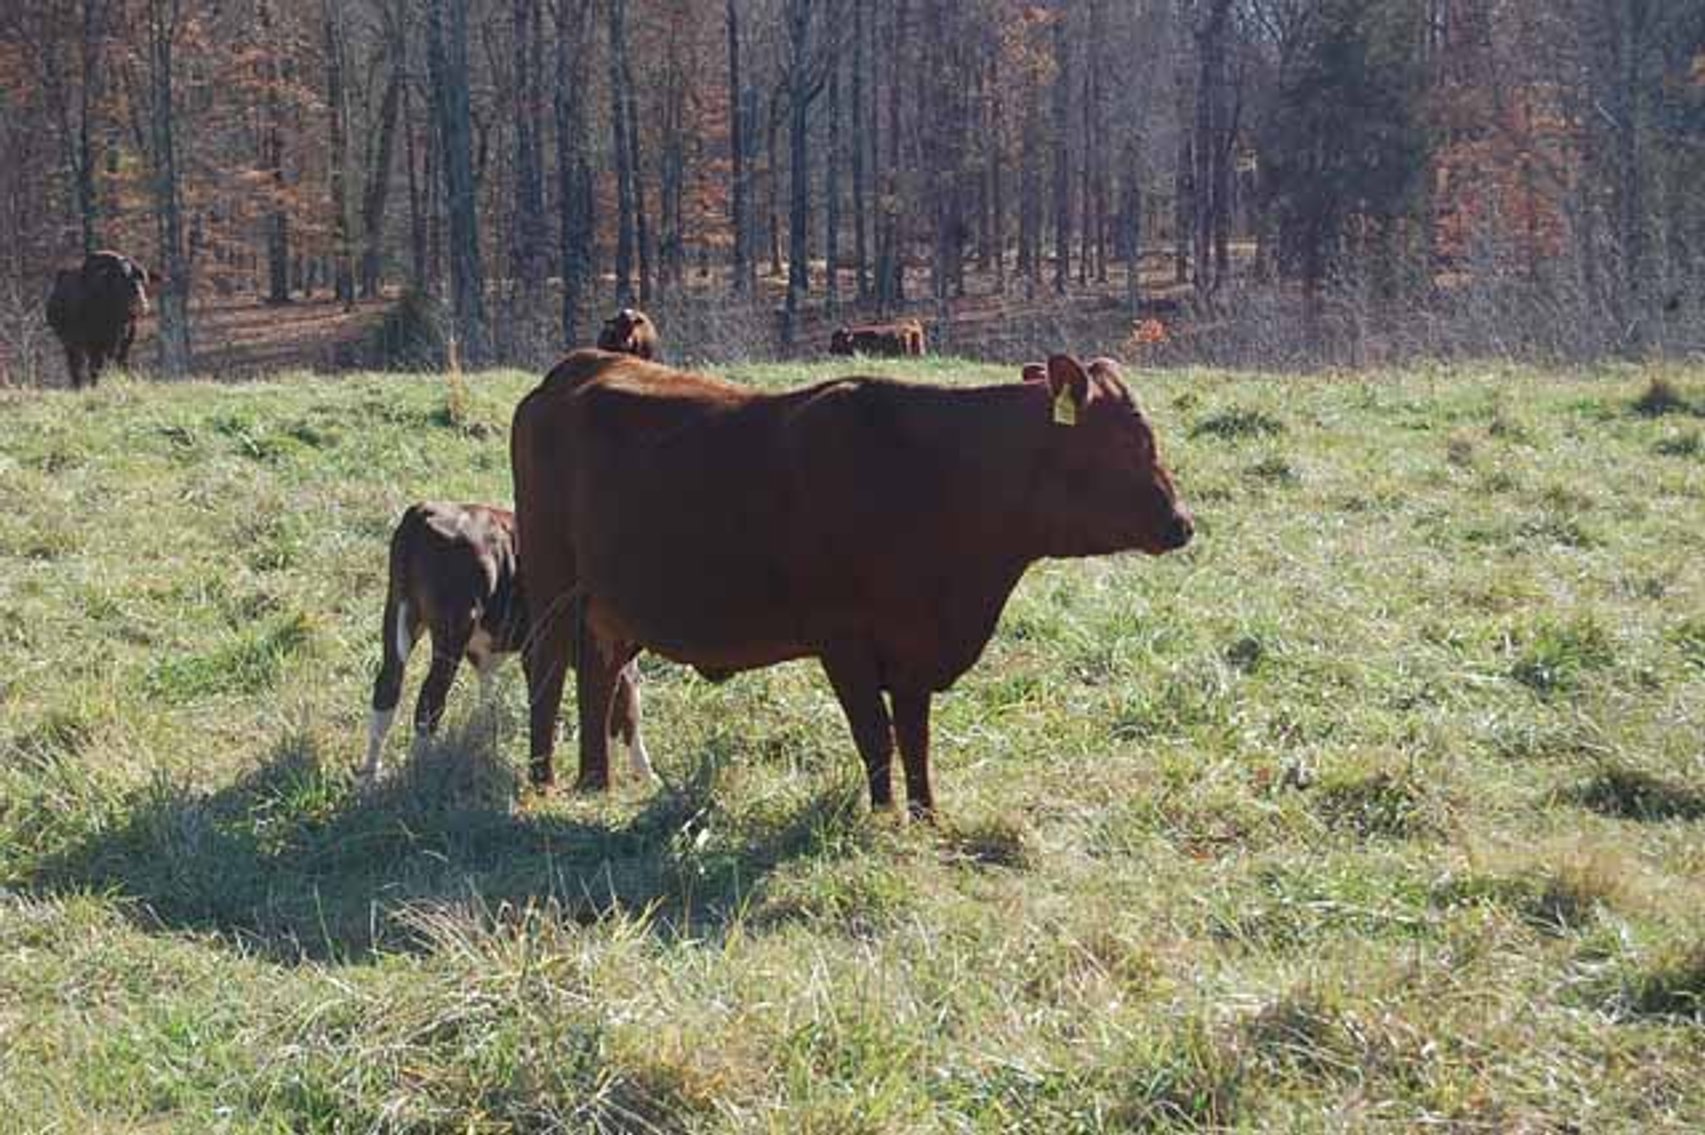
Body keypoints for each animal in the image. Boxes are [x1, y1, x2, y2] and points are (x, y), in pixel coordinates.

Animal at [45, 250, 152, 389]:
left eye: (138, 277)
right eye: (120, 277)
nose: (141, 304)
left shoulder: (125, 345)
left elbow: (123, 366)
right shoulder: (95, 346)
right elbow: (95, 368)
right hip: (70, 344)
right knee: (76, 365)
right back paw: (77, 386)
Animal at [363, 501, 652, 783]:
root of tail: (426, 510)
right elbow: (625, 707)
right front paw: (645, 776)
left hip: (399, 611)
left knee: (387, 687)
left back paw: (370, 775)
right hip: (453, 626)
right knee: (430, 698)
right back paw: (421, 768)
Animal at [510, 351, 1192, 816]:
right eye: (1128, 440)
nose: (1181, 523)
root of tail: (575, 366)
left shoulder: (916, 648)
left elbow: (914, 737)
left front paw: (925, 815)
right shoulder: (843, 640)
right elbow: (876, 737)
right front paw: (886, 816)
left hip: (605, 606)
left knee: (597, 677)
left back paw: (595, 783)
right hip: (550, 582)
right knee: (548, 672)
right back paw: (543, 781)